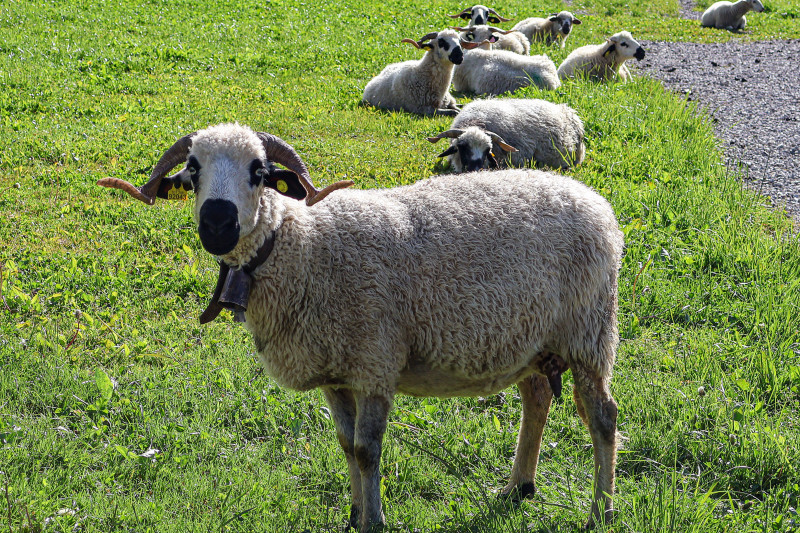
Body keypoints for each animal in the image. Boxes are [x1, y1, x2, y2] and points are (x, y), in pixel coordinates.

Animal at [97, 122, 623, 531]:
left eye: (259, 172)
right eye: (193, 170)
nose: (217, 223)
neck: (304, 248)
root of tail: (596, 203)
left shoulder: (374, 362)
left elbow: (368, 451)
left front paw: (375, 520)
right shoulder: (337, 372)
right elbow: (347, 446)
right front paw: (354, 515)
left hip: (589, 331)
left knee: (602, 418)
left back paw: (600, 511)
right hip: (533, 339)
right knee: (537, 399)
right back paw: (518, 487)